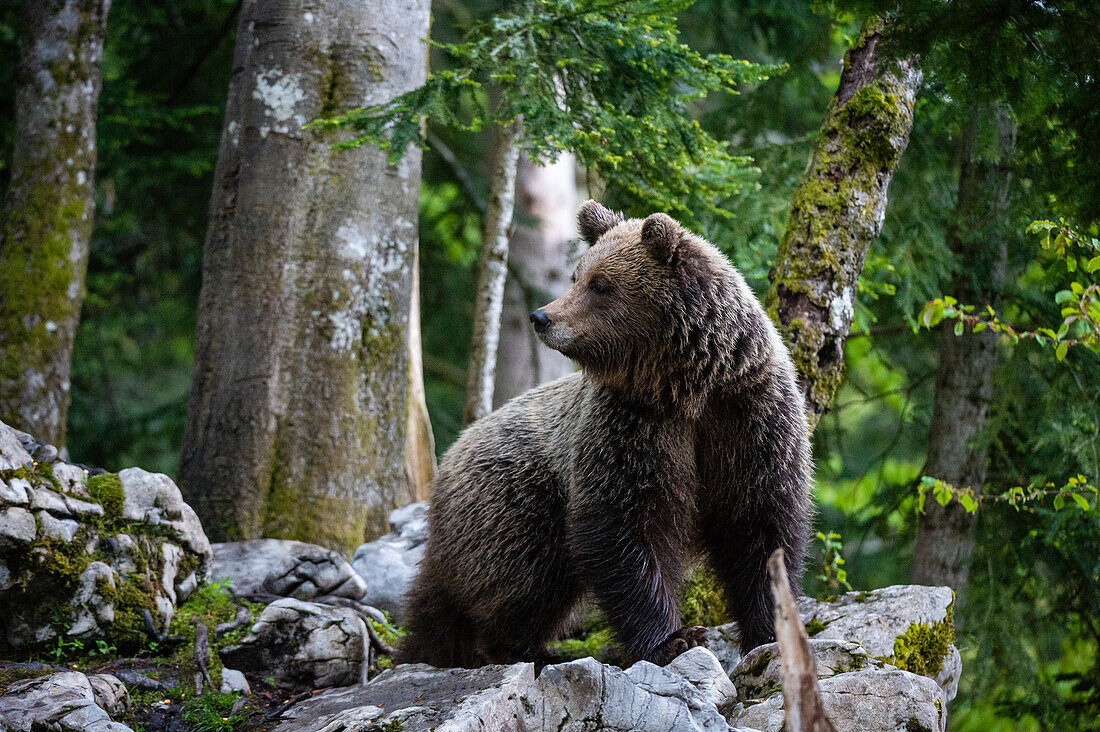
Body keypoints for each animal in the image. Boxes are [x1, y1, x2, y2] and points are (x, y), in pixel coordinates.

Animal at [400, 201, 814, 669]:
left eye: (600, 284)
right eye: (577, 276)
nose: (542, 317)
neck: (686, 386)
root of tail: (448, 460)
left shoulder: (749, 418)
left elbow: (760, 526)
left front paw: (771, 630)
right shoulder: (631, 428)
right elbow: (624, 528)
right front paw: (673, 638)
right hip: (516, 497)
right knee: (519, 575)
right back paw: (522, 649)